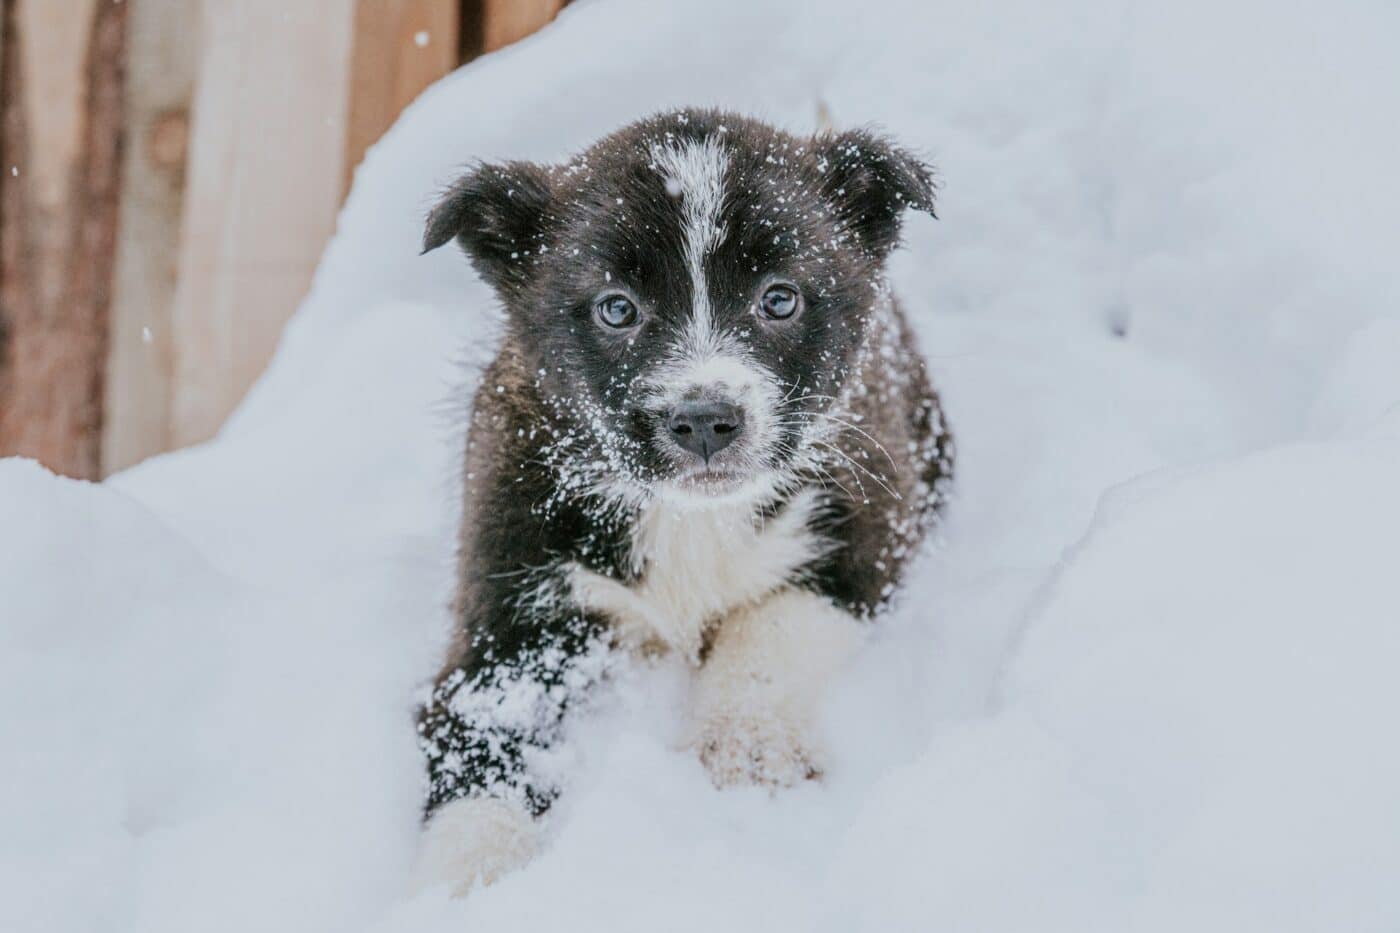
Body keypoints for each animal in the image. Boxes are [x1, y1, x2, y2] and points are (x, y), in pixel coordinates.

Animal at [408, 110, 952, 896]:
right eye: (617, 309)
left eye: (779, 298)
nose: (703, 421)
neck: (692, 519)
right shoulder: (508, 606)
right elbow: (485, 731)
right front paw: (467, 877)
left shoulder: (868, 523)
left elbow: (775, 623)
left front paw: (748, 745)